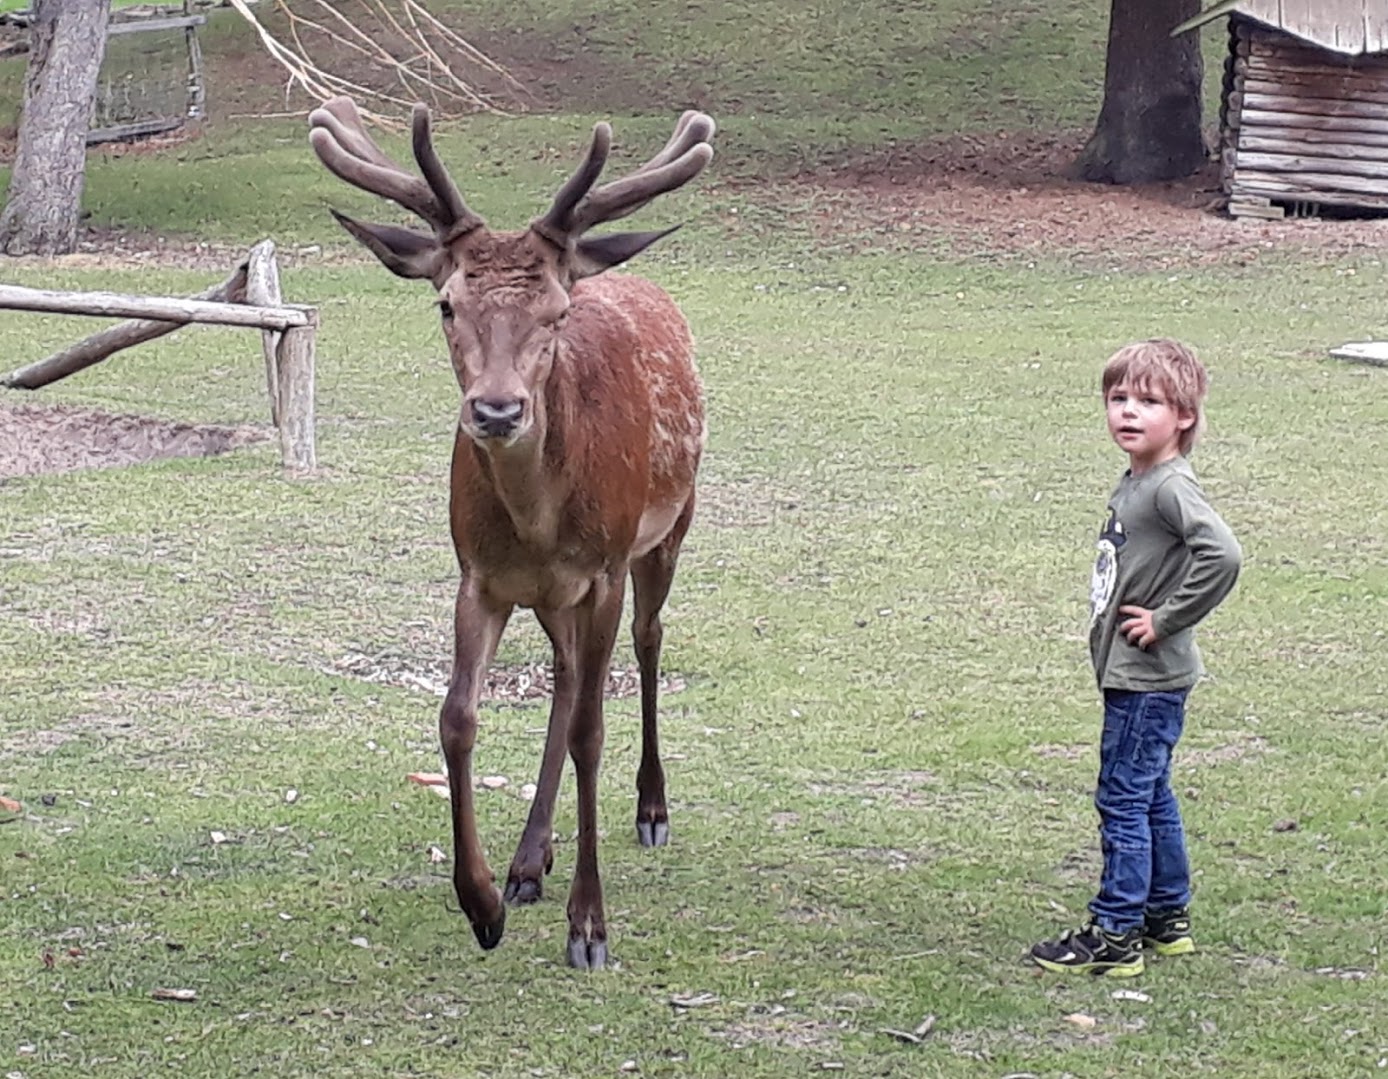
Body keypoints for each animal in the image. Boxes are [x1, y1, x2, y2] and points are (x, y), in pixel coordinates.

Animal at [306, 94, 716, 966]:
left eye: (556, 312)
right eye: (446, 303)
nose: (496, 410)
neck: (536, 521)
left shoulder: (601, 569)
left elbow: (594, 726)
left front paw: (589, 926)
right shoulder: (479, 577)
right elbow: (457, 717)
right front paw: (482, 900)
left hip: (668, 528)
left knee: (647, 641)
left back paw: (651, 808)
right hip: (554, 596)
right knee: (564, 675)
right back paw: (531, 859)